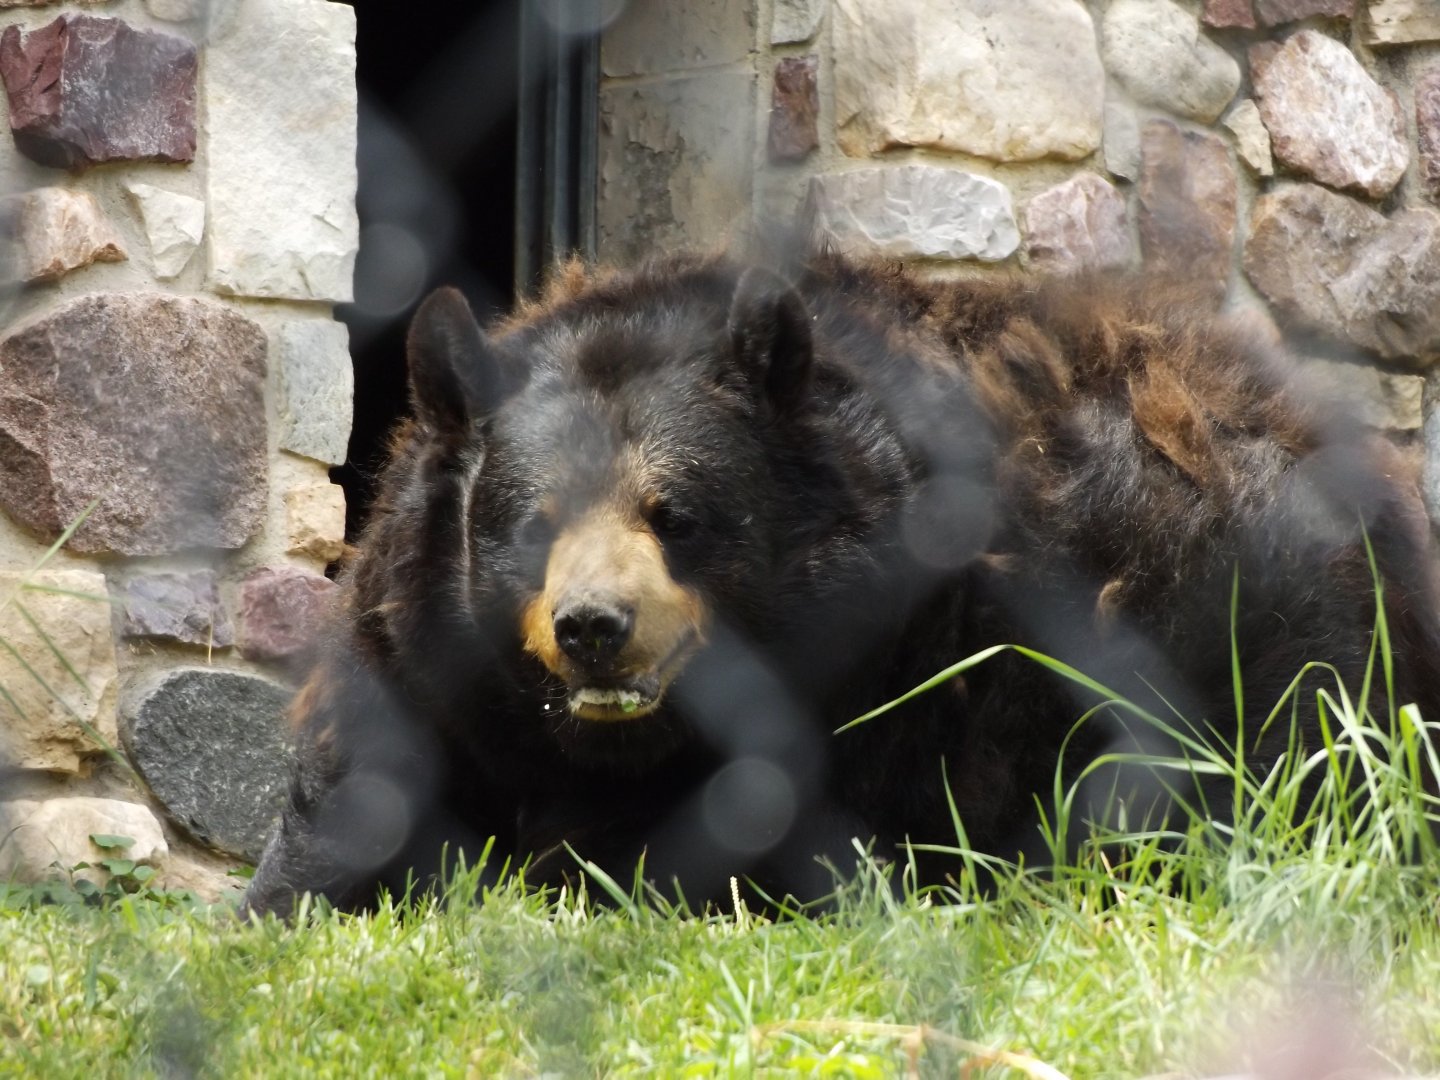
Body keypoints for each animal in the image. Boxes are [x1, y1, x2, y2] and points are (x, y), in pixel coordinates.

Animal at [241, 251, 1440, 918]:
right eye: (533, 526)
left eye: (675, 517)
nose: (594, 626)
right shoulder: (422, 663)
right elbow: (351, 808)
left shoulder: (878, 686)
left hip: (1254, 630)